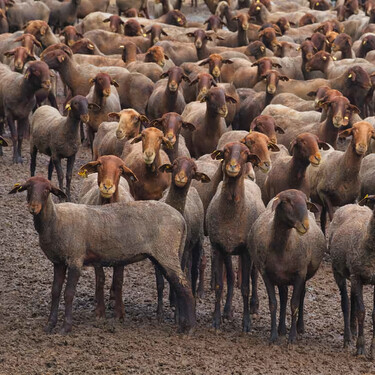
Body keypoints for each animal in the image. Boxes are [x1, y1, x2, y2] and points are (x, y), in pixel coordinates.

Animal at [8, 176, 197, 334]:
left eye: (47, 190)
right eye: (28, 188)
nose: (33, 208)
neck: (55, 220)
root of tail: (180, 218)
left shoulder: (75, 259)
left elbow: (68, 293)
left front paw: (65, 328)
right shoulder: (58, 262)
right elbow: (55, 292)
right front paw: (49, 325)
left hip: (166, 252)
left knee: (185, 287)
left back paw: (189, 328)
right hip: (162, 255)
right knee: (178, 286)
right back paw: (182, 324)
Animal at [78, 154, 137, 322]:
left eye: (121, 168)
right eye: (99, 165)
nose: (107, 187)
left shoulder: (124, 251)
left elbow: (118, 280)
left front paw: (120, 313)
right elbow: (100, 279)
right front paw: (100, 311)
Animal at [207, 142, 266, 334]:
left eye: (246, 153)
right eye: (225, 151)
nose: (232, 166)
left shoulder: (246, 251)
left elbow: (246, 287)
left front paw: (246, 323)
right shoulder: (218, 247)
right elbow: (220, 285)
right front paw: (216, 319)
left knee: (254, 276)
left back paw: (254, 306)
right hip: (228, 251)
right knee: (232, 277)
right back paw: (227, 310)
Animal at [250, 191, 326, 344]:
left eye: (305, 203)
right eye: (287, 202)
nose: (305, 225)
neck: (282, 246)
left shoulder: (300, 274)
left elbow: (294, 304)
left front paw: (292, 337)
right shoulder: (266, 274)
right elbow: (273, 303)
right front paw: (273, 335)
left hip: (302, 275)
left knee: (301, 295)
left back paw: (299, 327)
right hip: (281, 277)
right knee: (284, 296)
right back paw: (281, 329)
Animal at [328, 197, 375, 358]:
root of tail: (352, 204)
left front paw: (373, 351)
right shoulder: (357, 276)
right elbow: (361, 311)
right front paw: (360, 348)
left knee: (353, 298)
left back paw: (353, 331)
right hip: (338, 271)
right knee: (346, 303)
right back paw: (348, 339)